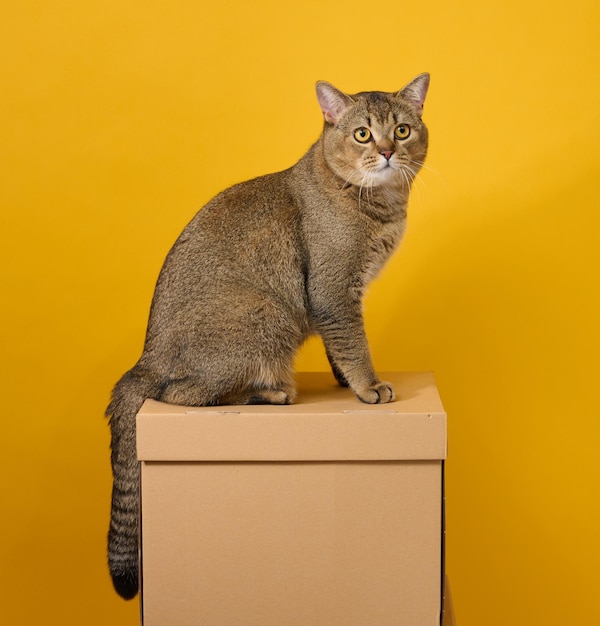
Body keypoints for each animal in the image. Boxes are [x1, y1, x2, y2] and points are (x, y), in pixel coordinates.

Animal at [106, 74, 426, 600]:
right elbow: (353, 342)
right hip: (265, 314)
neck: (373, 201)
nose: (385, 152)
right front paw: (367, 387)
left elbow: (340, 346)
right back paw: (268, 393)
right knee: (179, 393)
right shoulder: (333, 290)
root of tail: (145, 357)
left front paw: (345, 381)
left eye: (402, 130)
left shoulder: (338, 300)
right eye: (362, 134)